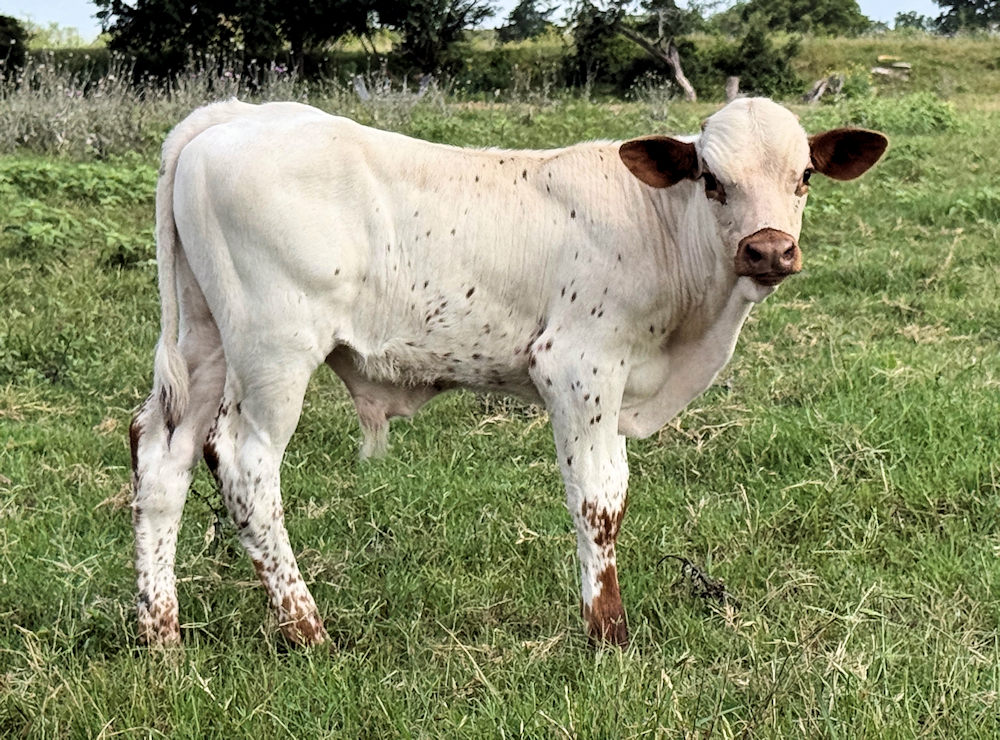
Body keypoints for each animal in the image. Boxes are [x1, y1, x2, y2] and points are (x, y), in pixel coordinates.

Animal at [129, 97, 887, 648]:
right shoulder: (580, 367)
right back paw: (306, 631)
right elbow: (597, 500)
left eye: (804, 177)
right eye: (711, 179)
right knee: (245, 464)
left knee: (162, 455)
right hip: (274, 349)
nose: (769, 250)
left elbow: (613, 494)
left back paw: (160, 634)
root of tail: (235, 115)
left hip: (205, 340)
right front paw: (608, 634)